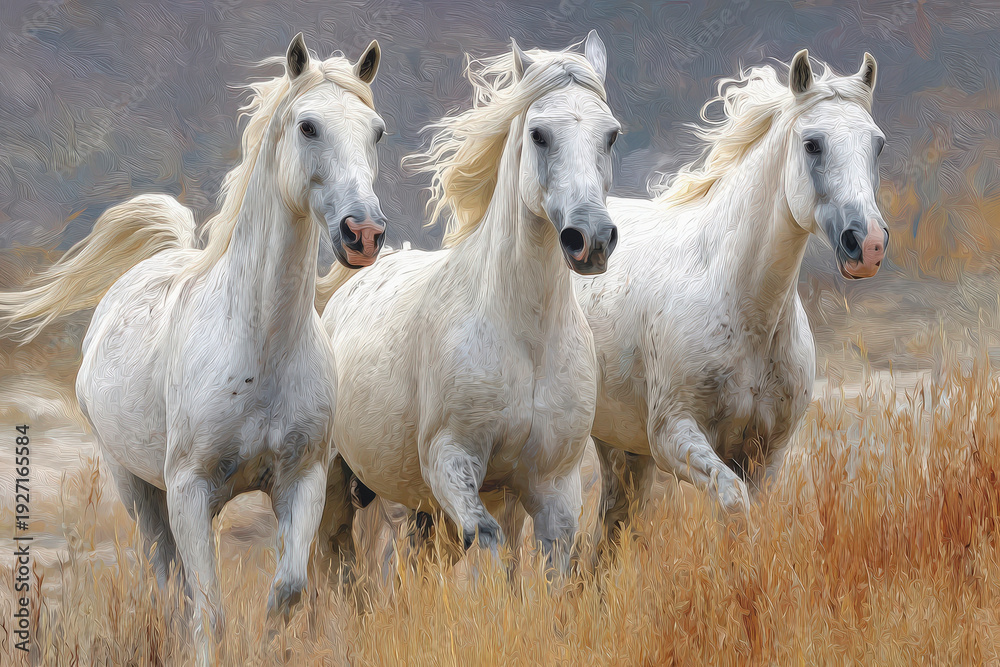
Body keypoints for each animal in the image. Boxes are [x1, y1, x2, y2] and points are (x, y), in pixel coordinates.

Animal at [0, 34, 386, 663]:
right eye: (308, 126)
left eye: (376, 131)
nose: (365, 234)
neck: (260, 348)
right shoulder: (190, 489)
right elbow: (210, 610)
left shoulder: (301, 480)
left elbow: (287, 591)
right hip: (138, 489)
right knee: (169, 579)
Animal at [316, 31, 621, 580]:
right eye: (539, 134)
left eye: (610, 135)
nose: (590, 239)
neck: (525, 336)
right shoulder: (451, 461)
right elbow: (488, 542)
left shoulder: (554, 485)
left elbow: (548, 565)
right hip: (338, 478)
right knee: (336, 554)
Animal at [574, 50, 889, 547]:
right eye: (813, 144)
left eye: (877, 145)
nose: (869, 244)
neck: (743, 308)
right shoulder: (674, 435)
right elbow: (734, 504)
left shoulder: (767, 453)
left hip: (620, 447)